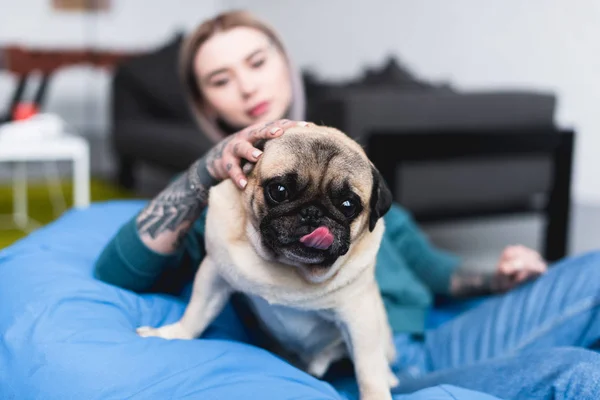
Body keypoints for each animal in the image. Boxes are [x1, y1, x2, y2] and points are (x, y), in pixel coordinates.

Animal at [136, 125, 398, 400]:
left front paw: (378, 394)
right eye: (279, 191)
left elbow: (369, 370)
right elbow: (195, 315)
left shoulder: (361, 319)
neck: (291, 267)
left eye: (348, 205)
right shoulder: (214, 275)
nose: (313, 213)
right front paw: (172, 335)